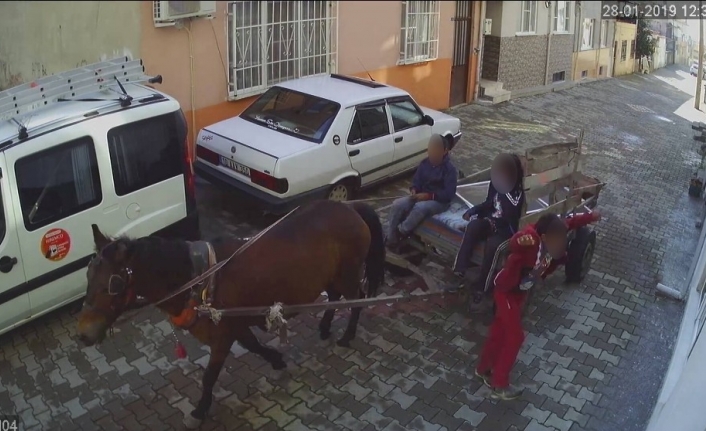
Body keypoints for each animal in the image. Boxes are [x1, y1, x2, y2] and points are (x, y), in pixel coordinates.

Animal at [75, 202, 384, 428]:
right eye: (88, 277)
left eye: (113, 284)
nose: (83, 334)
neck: (198, 279)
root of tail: (351, 208)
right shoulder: (234, 326)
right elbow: (254, 345)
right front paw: (277, 359)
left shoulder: (222, 337)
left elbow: (210, 376)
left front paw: (200, 409)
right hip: (332, 274)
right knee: (333, 296)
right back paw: (325, 327)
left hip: (348, 272)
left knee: (357, 299)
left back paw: (347, 334)